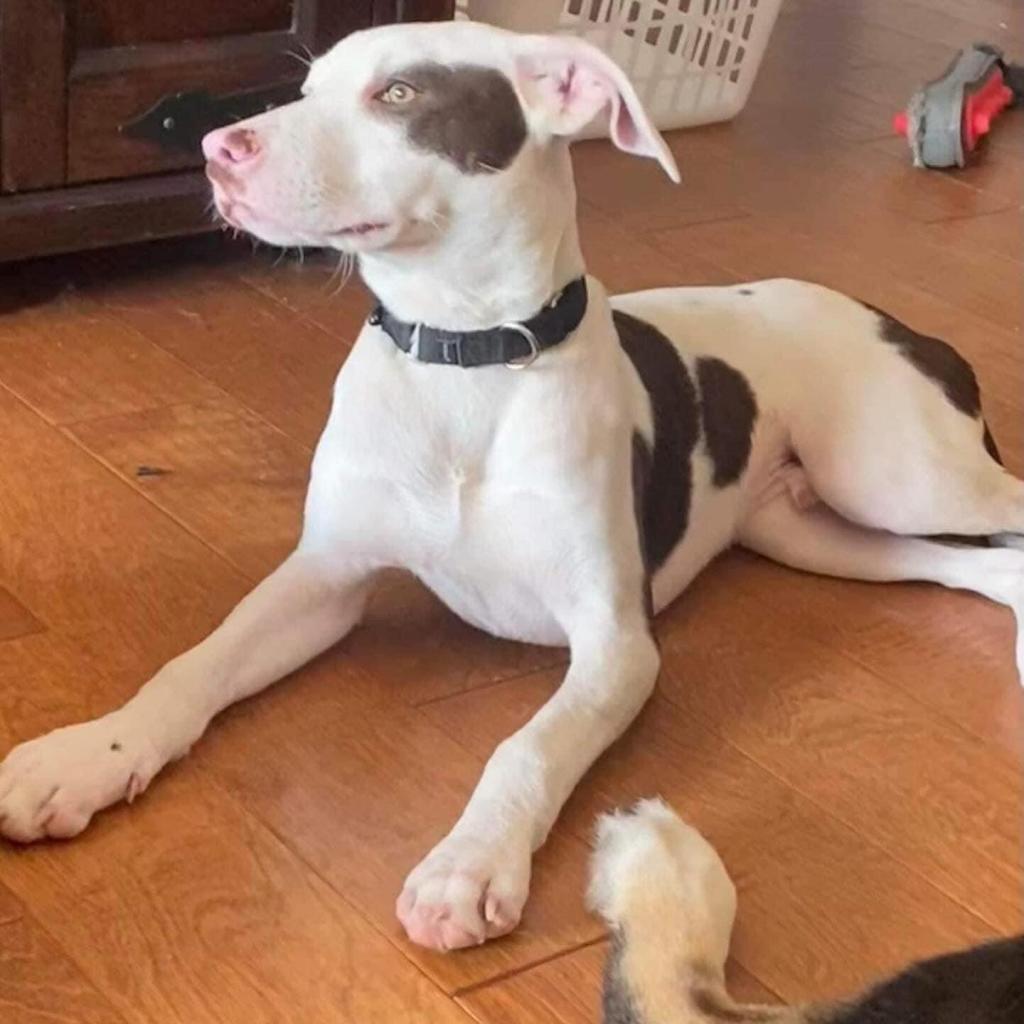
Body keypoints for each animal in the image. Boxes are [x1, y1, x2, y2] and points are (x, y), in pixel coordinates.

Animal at [2, 19, 1024, 954]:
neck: (465, 358)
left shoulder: (617, 646)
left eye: (401, 94)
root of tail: (897, 321)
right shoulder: (324, 578)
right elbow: (194, 663)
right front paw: (87, 756)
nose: (219, 150)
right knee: (978, 569)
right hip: (818, 532)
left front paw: (469, 863)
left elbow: (523, 746)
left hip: (897, 475)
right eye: (310, 84)